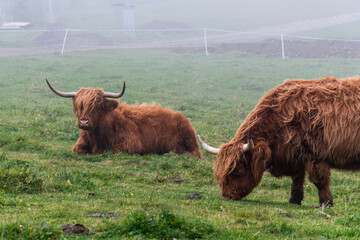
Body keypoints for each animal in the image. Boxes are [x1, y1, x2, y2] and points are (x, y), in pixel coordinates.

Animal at [45, 79, 201, 158]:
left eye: (97, 105)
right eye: (79, 105)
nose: (84, 122)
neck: (98, 136)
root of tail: (179, 115)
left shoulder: (131, 143)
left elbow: (114, 150)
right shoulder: (80, 145)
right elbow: (77, 150)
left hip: (190, 138)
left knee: (196, 153)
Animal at [197, 76, 360, 205]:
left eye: (237, 171)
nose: (227, 195)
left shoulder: (315, 156)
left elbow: (320, 181)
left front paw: (326, 202)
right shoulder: (296, 155)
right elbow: (297, 179)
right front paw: (294, 200)